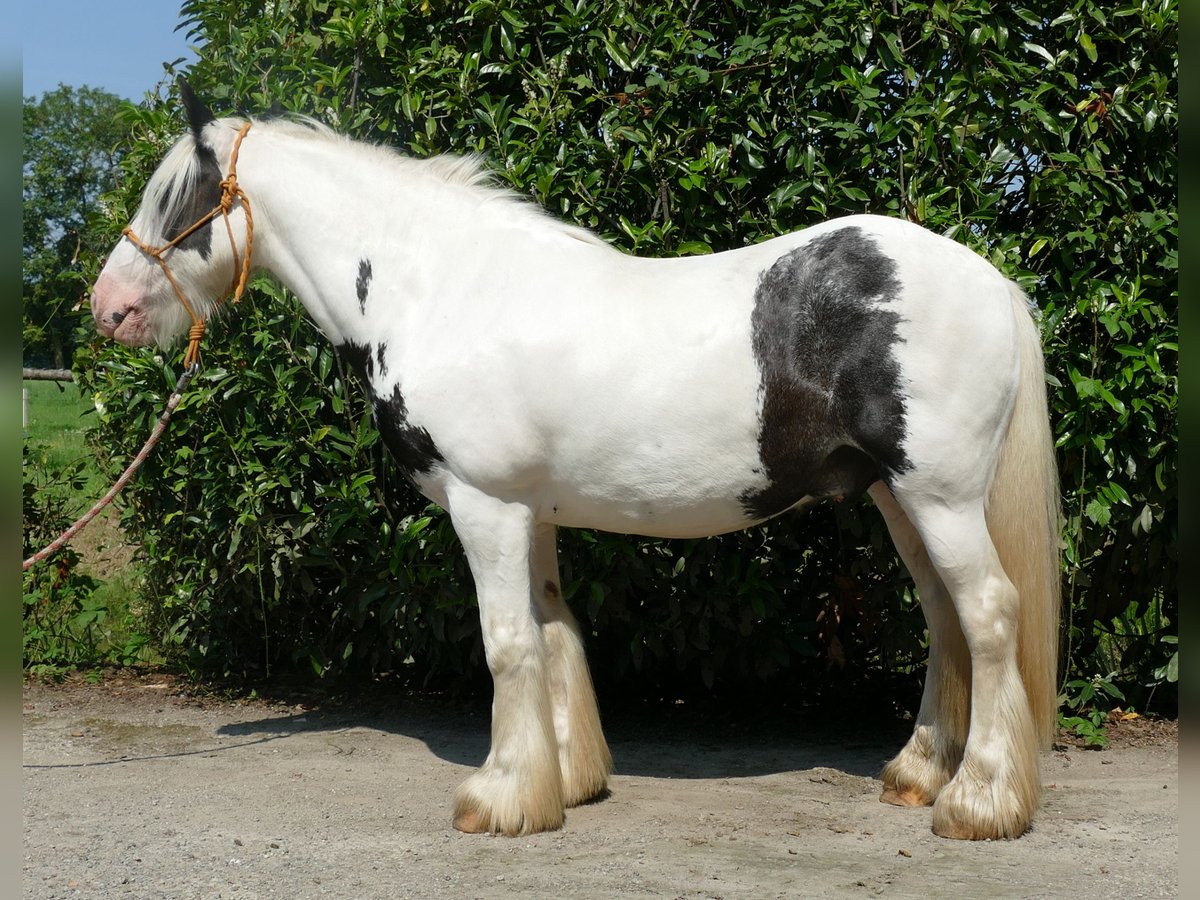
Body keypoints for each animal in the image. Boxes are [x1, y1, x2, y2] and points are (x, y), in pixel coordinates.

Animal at [91, 84, 1060, 840]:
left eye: (178, 200)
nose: (107, 310)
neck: (439, 288)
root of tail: (989, 280)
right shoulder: (529, 512)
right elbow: (553, 629)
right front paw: (566, 780)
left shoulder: (483, 505)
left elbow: (507, 642)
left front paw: (499, 798)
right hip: (898, 499)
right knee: (945, 620)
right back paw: (919, 774)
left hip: (939, 497)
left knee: (989, 614)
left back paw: (978, 802)